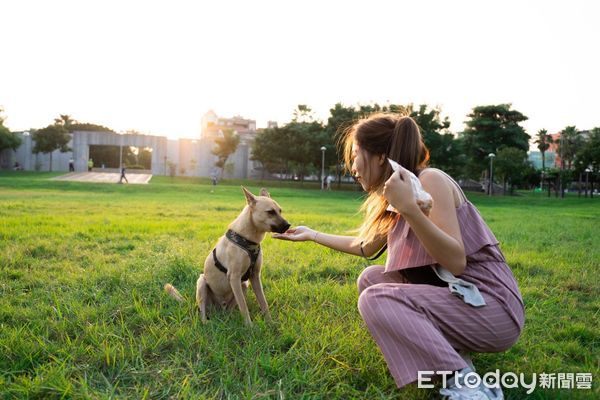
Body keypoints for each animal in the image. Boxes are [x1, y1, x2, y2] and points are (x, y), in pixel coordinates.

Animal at [165, 187, 290, 324]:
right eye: (270, 212)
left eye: (280, 211)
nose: (288, 225)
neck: (247, 239)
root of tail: (219, 308)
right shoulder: (234, 277)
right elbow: (243, 306)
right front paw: (249, 326)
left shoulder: (255, 276)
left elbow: (263, 302)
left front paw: (270, 322)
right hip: (202, 283)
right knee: (202, 312)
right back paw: (206, 322)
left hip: (244, 284)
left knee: (229, 310)